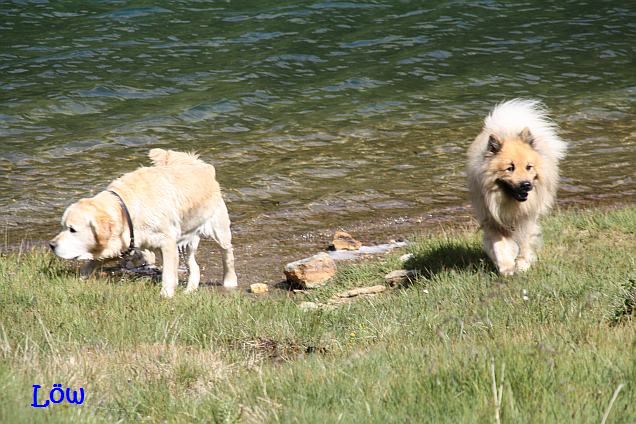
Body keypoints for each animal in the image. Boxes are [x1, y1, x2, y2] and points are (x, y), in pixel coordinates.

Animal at [49, 149, 237, 298]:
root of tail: (200, 165)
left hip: (218, 228)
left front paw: (166, 295)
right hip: (186, 241)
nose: (51, 245)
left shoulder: (168, 242)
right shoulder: (123, 242)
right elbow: (93, 262)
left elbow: (168, 273)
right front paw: (81, 279)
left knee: (227, 253)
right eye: (63, 226)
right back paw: (189, 289)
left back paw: (230, 281)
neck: (126, 209)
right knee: (194, 266)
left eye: (72, 229)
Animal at [468, 99, 568, 274]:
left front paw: (522, 264)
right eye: (510, 168)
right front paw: (506, 266)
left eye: (529, 167)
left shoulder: (527, 218)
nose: (526, 185)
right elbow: (499, 245)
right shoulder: (491, 219)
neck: (510, 202)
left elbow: (524, 242)